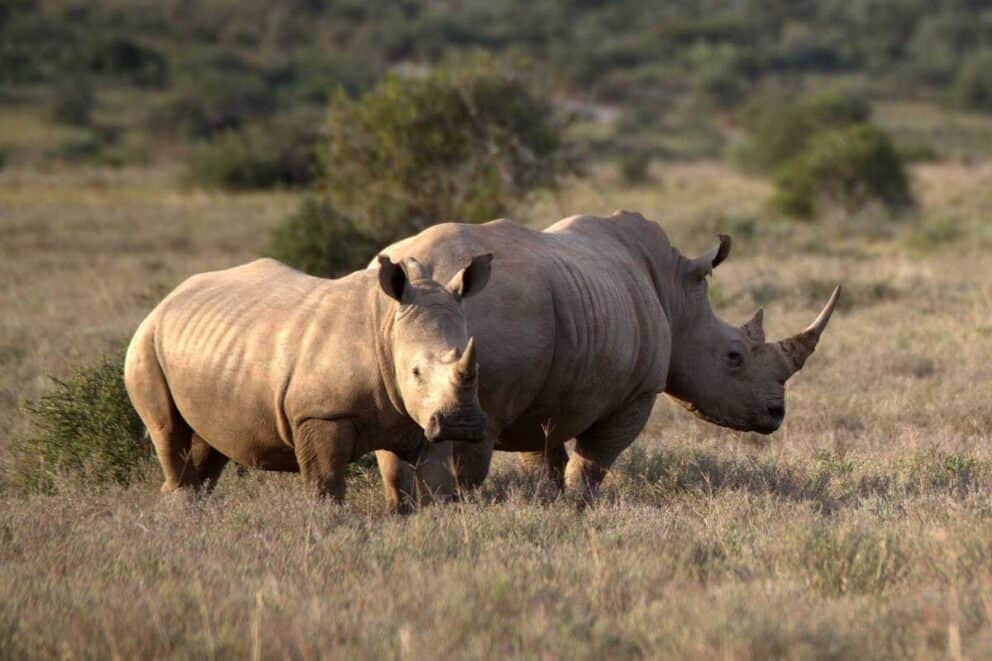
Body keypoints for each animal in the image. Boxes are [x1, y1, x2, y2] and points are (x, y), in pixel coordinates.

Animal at [124, 255, 492, 500]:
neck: (388, 325)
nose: (462, 424)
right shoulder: (320, 413)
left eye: (476, 368)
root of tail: (166, 301)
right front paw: (329, 527)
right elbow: (325, 483)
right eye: (415, 371)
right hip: (145, 344)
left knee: (206, 447)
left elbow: (435, 484)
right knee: (169, 434)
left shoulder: (422, 416)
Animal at [373, 211, 840, 508]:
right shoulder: (638, 393)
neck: (678, 296)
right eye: (734, 357)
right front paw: (581, 507)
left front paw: (550, 502)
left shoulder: (547, 394)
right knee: (473, 439)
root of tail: (428, 274)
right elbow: (593, 462)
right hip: (489, 319)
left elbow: (545, 459)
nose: (776, 414)